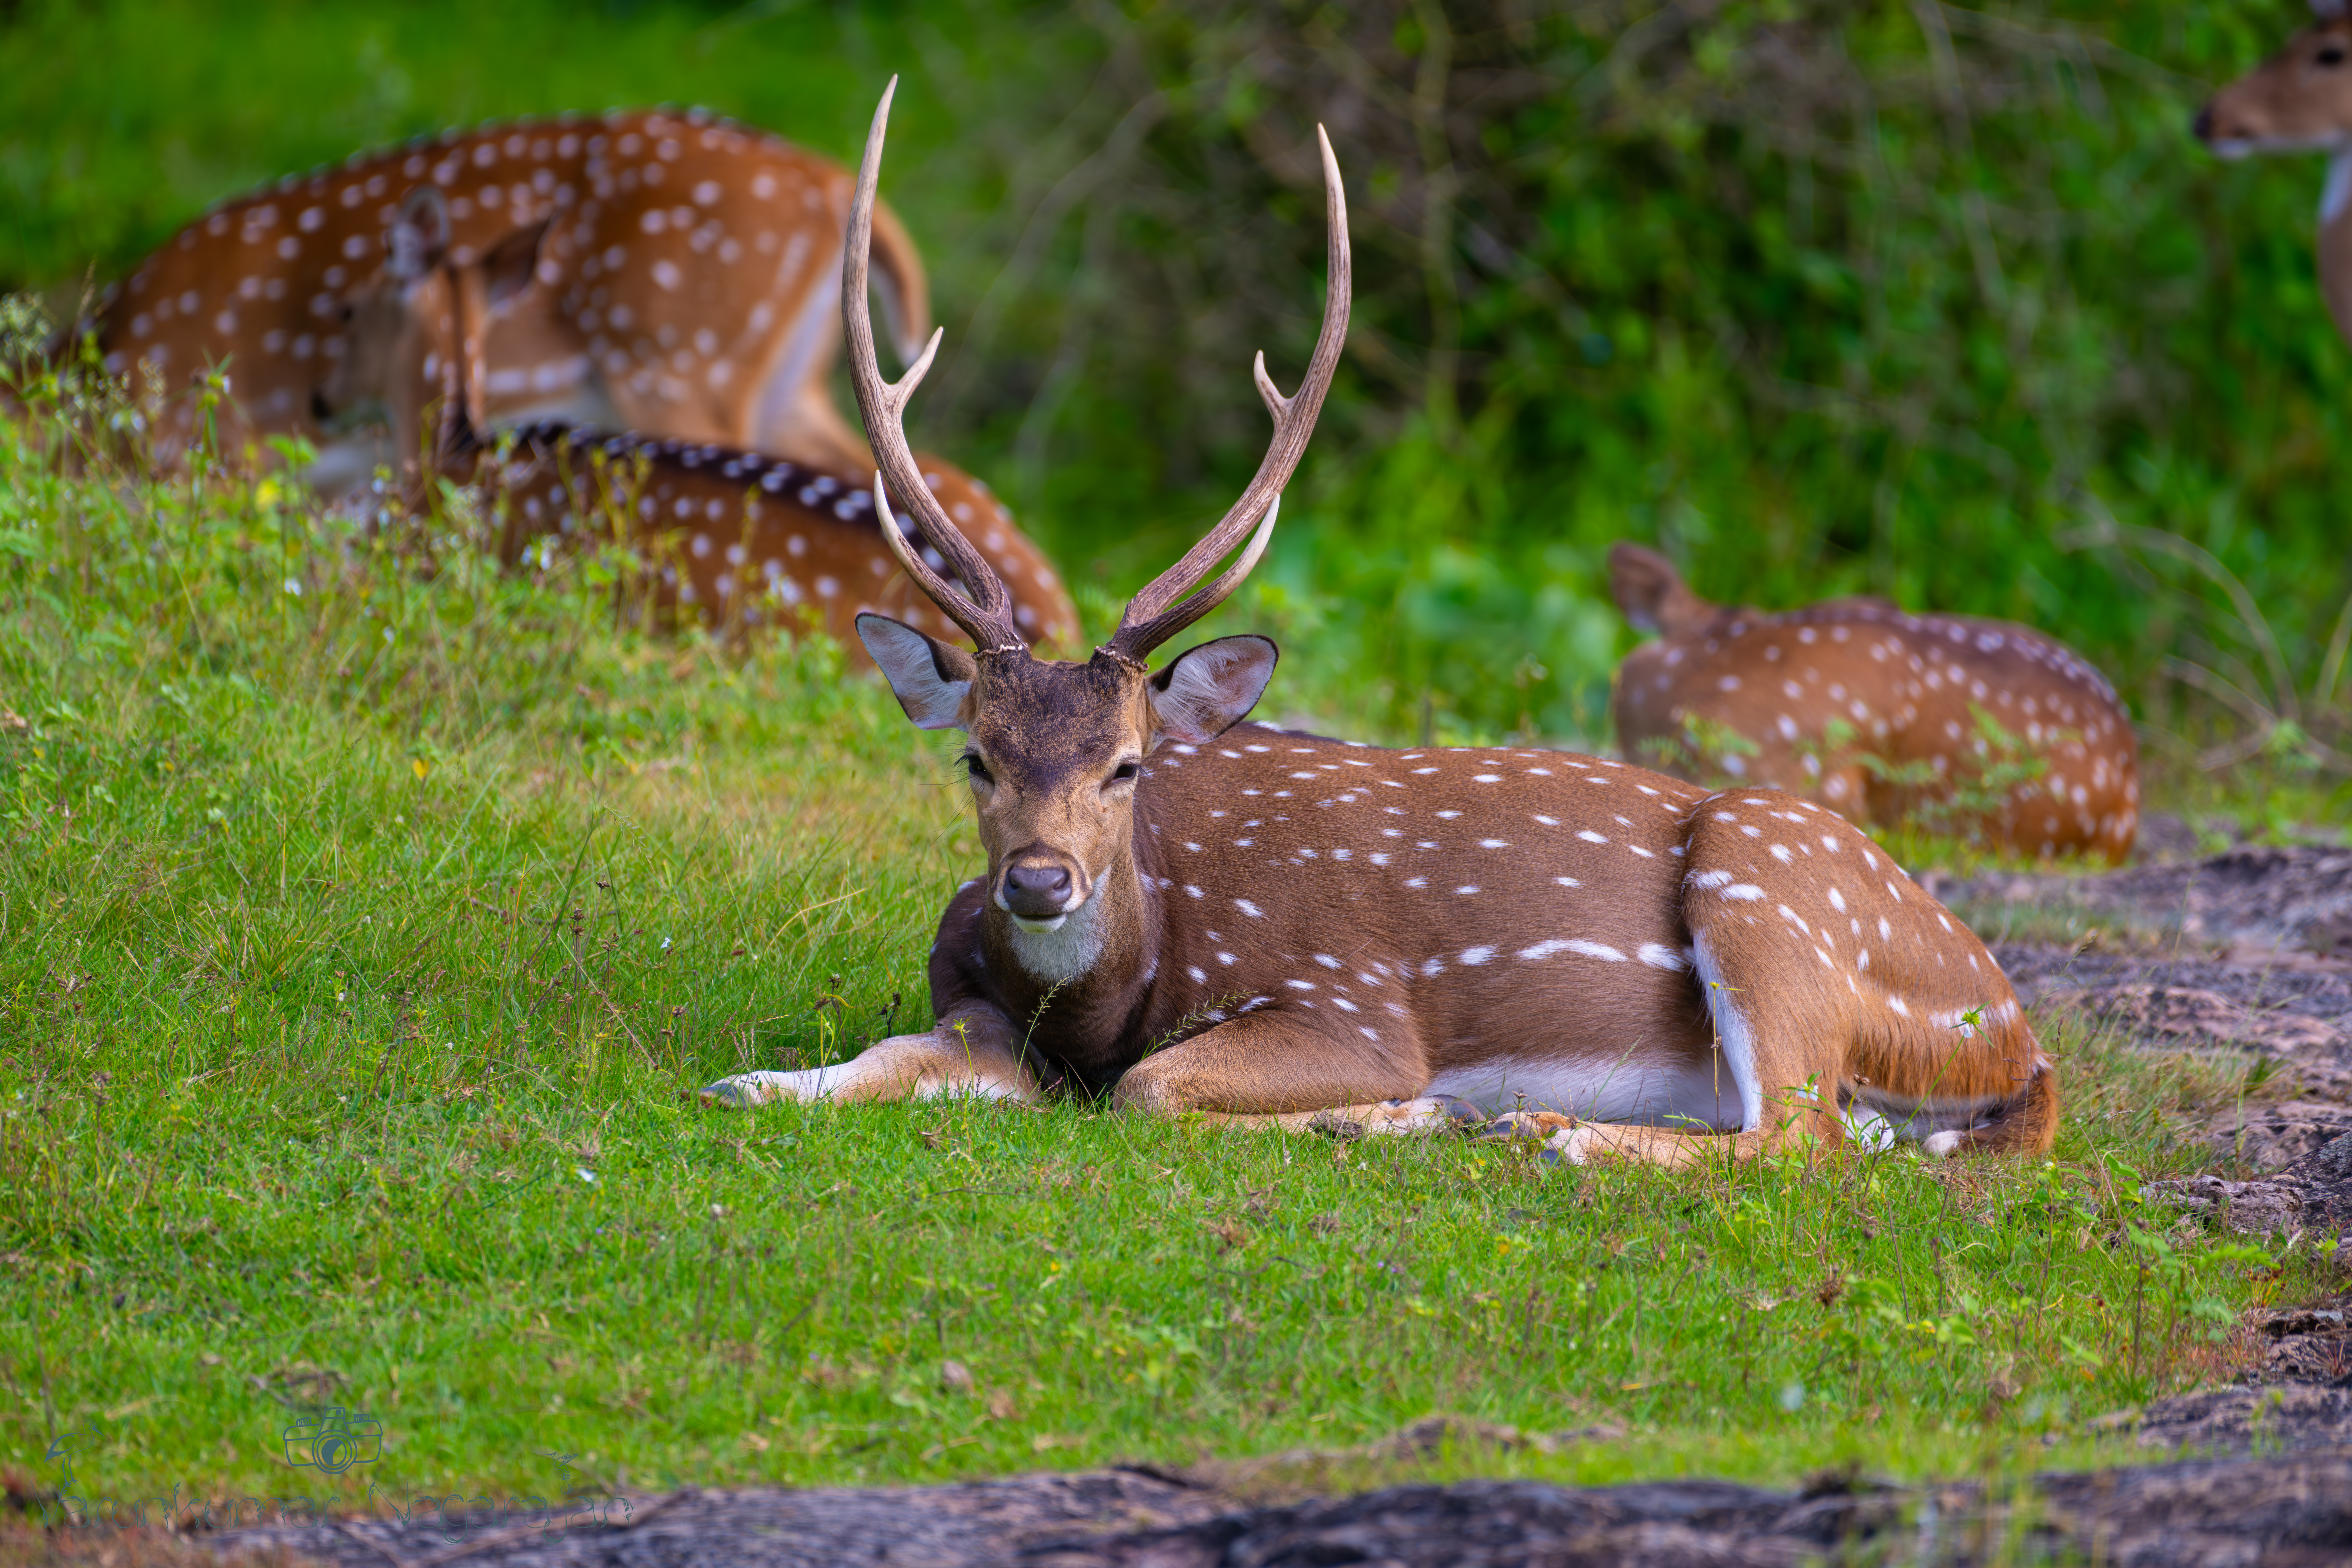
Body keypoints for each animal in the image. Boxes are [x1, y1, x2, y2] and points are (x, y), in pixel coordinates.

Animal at [76, 108, 929, 493]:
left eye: (349, 313)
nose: (318, 401)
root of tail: (829, 181)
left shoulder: (223, 449)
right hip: (787, 387)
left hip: (680, 367)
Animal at [696, 81, 2060, 1170]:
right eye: (977, 756)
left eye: (1128, 765)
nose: (1037, 880)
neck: (1107, 1004)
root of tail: (2017, 1036)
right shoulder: (975, 1006)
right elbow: (882, 1057)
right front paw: (749, 1079)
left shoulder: (1348, 1003)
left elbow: (1155, 1088)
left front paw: (1398, 1112)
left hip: (1770, 888)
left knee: (1796, 1136)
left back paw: (1549, 1130)